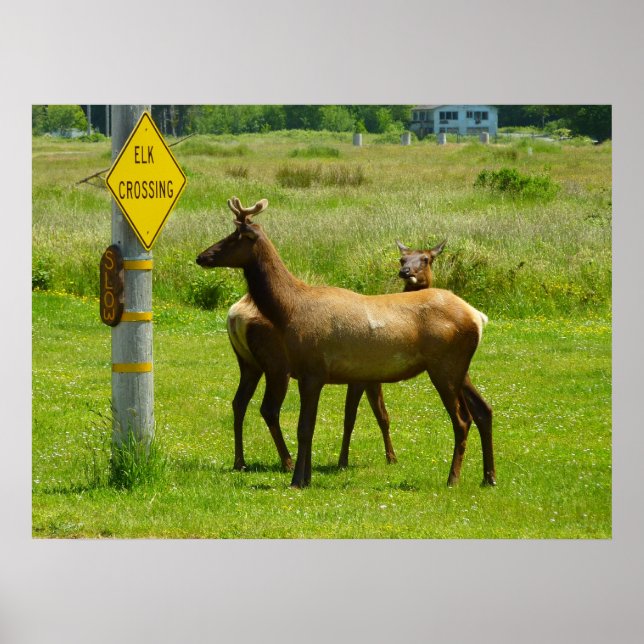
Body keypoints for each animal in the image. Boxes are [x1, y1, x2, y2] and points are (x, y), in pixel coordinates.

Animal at [226, 232, 447, 473]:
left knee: (239, 402)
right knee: (269, 409)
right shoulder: (361, 376)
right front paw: (349, 461)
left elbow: (381, 415)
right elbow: (355, 417)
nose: (406, 272)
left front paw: (389, 457)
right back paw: (287, 461)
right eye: (402, 259)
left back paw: (240, 461)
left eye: (425, 259)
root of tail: (235, 315)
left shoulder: (372, 376)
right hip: (276, 365)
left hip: (249, 363)